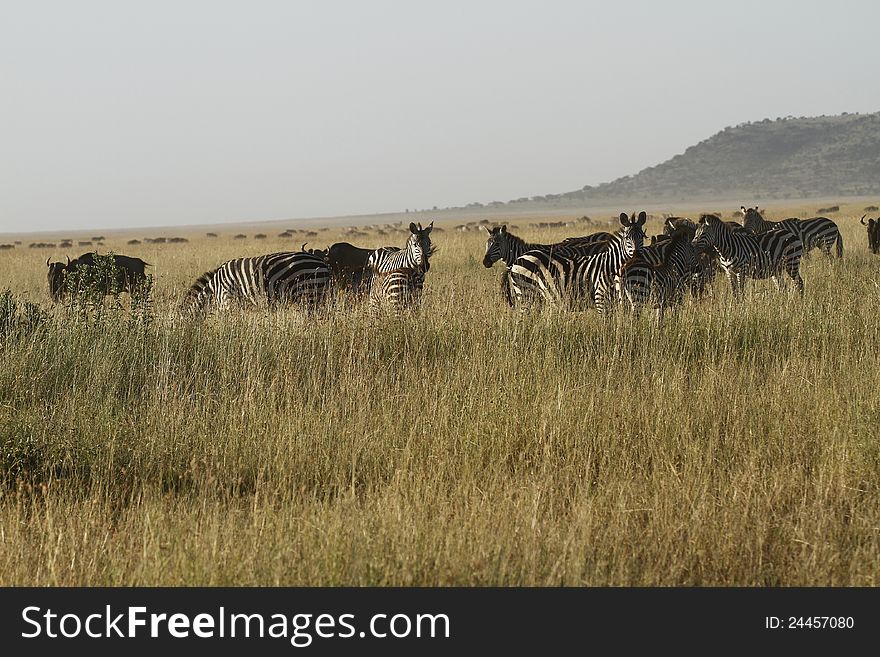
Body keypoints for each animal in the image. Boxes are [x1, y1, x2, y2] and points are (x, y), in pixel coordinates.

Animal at [506, 211, 648, 312]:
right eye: (627, 237)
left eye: (642, 236)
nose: (636, 255)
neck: (612, 265)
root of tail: (519, 258)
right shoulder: (600, 296)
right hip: (526, 292)